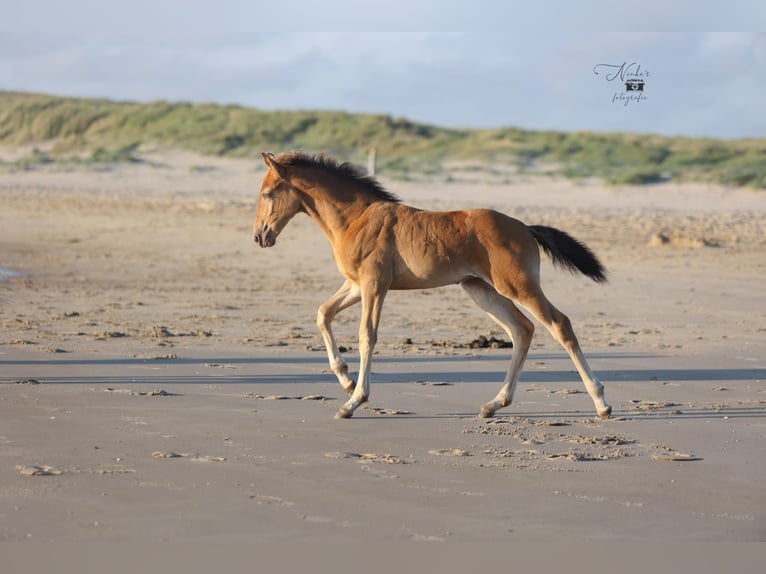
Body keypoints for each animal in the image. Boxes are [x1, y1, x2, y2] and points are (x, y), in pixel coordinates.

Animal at [253, 151, 612, 420]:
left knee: (559, 324)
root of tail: (525, 227)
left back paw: (601, 403)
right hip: (481, 290)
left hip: (517, 285)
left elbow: (367, 335)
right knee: (522, 330)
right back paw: (494, 404)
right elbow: (323, 313)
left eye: (268, 193)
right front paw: (345, 380)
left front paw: (353, 401)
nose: (259, 236)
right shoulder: (356, 284)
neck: (356, 218)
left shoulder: (374, 283)